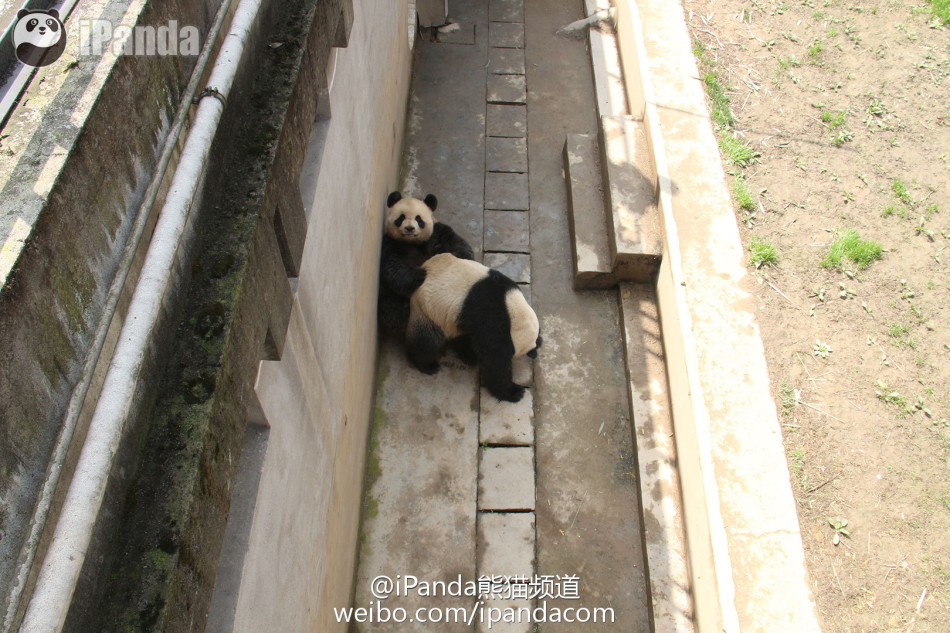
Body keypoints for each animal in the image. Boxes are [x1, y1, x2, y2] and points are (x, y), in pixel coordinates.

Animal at [380, 190, 476, 340]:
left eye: (418, 219)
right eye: (401, 217)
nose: (409, 228)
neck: (412, 242)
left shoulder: (436, 232)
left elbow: (456, 242)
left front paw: (460, 257)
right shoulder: (392, 243)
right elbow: (393, 266)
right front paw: (420, 275)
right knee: (392, 310)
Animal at [410, 251, 544, 400]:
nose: (533, 353)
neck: (512, 310)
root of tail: (424, 266)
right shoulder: (494, 325)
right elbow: (495, 362)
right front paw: (514, 392)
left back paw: (468, 355)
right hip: (428, 311)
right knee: (427, 340)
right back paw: (427, 365)